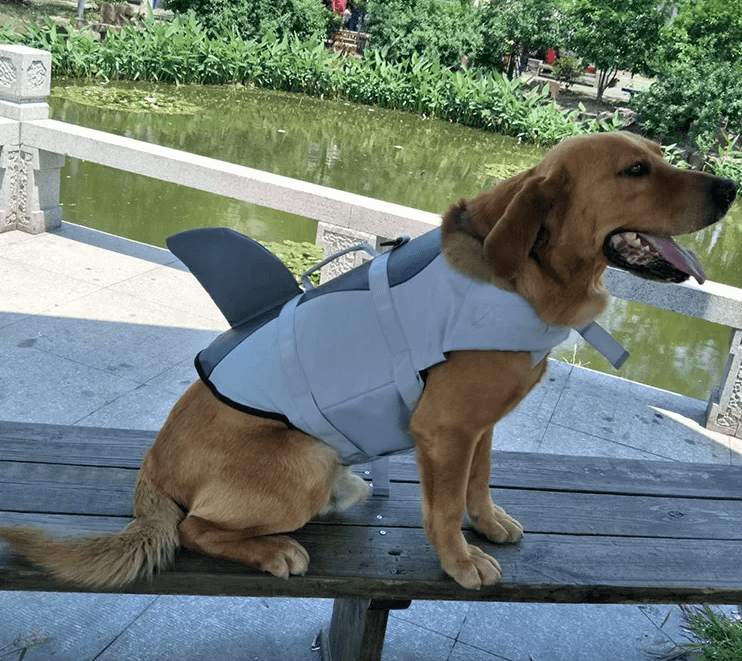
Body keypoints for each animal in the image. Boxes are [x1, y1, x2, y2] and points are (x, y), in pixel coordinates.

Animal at [0, 130, 740, 588]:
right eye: (635, 170)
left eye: (659, 155)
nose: (729, 189)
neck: (529, 270)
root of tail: (152, 467)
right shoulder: (443, 430)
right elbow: (442, 507)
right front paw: (459, 560)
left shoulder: (481, 427)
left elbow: (478, 483)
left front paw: (487, 524)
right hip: (304, 458)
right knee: (194, 529)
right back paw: (275, 549)